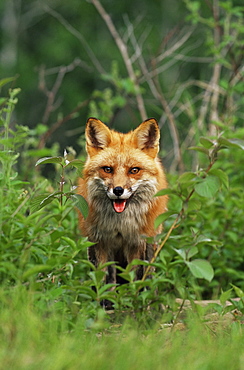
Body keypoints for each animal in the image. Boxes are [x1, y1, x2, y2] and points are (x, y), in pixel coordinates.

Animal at [78, 117, 168, 284]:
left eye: (134, 170)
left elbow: (135, 278)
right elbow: (102, 281)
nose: (118, 190)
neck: (120, 225)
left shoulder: (137, 243)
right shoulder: (99, 241)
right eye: (107, 169)